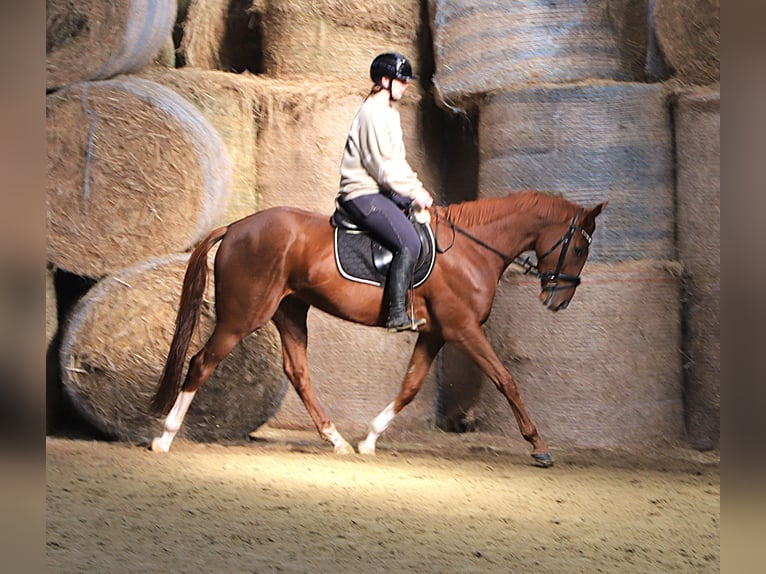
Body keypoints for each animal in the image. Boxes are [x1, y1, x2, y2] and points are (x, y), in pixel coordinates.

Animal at [149, 190, 606, 467]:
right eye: (579, 249)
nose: (559, 301)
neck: (473, 249)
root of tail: (236, 226)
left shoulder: (435, 333)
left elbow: (411, 386)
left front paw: (369, 439)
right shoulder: (463, 329)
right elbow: (506, 379)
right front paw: (539, 447)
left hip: (290, 311)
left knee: (297, 372)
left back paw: (336, 439)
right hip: (243, 315)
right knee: (202, 362)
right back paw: (165, 437)